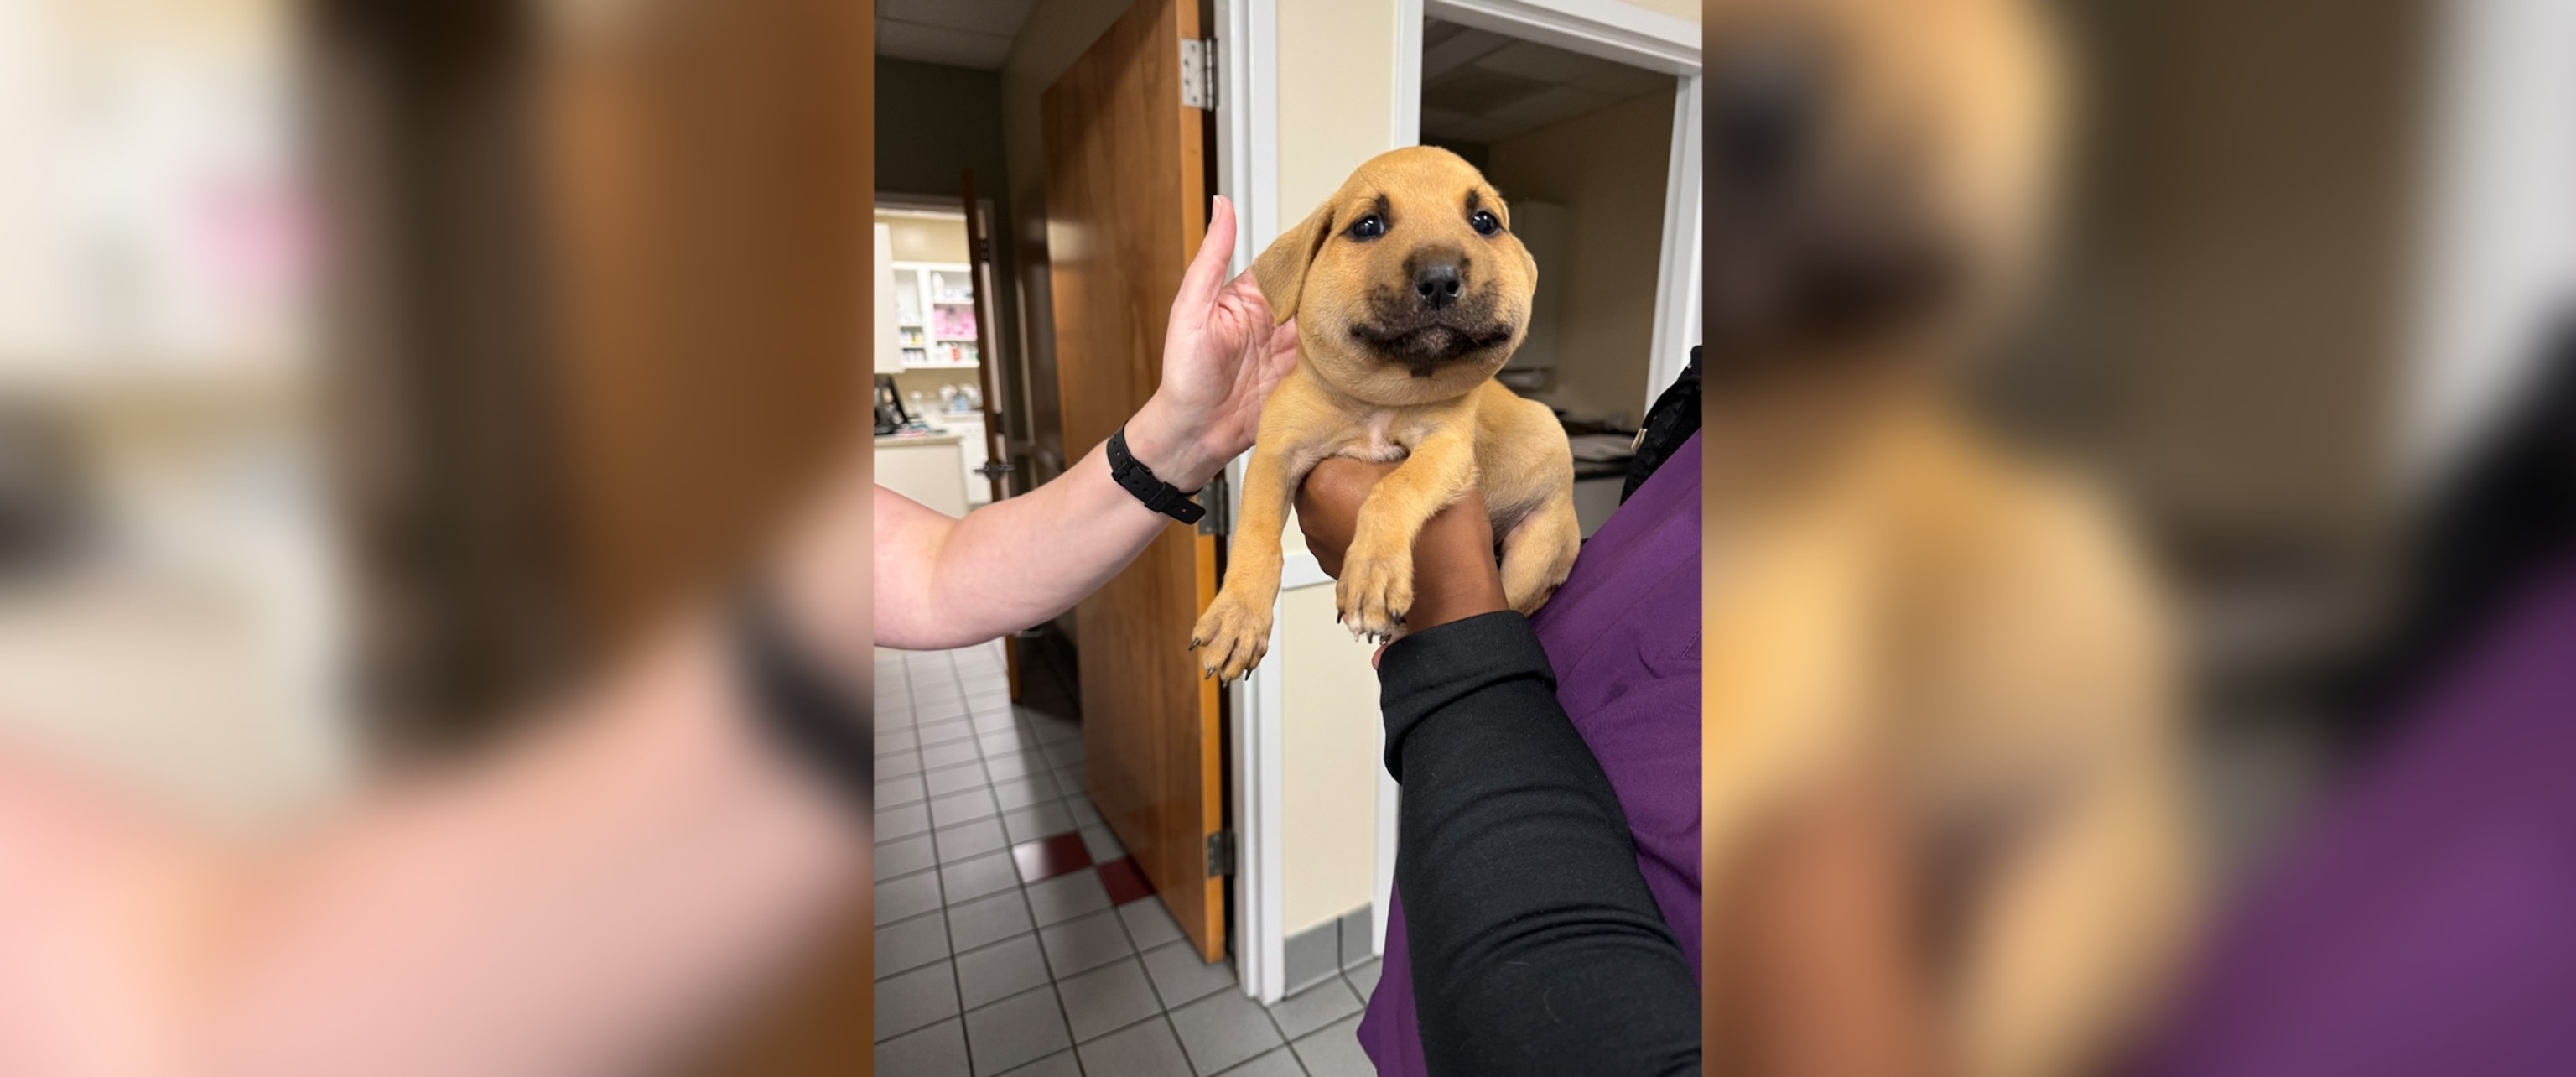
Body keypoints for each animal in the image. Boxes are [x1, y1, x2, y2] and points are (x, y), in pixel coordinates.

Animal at [1190, 147, 1587, 679]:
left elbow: (1394, 489)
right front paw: (1237, 618)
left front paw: (1373, 574)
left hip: (1534, 552)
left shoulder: (1447, 449)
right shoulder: (1276, 453)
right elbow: (1256, 536)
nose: (1440, 277)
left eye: (1484, 221)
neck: (1382, 399)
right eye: (1367, 225)